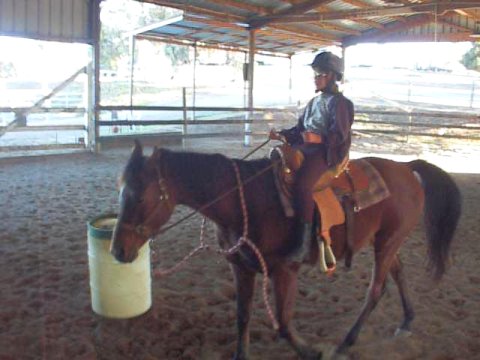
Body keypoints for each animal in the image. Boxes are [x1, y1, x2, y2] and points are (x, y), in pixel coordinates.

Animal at [111, 141, 462, 360]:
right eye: (120, 192)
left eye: (140, 197)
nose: (117, 250)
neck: (246, 200)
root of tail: (406, 168)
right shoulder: (240, 267)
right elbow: (242, 316)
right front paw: (241, 353)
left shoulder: (284, 272)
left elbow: (281, 322)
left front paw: (311, 351)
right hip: (387, 240)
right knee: (399, 275)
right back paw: (406, 321)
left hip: (388, 241)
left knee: (375, 290)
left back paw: (346, 341)